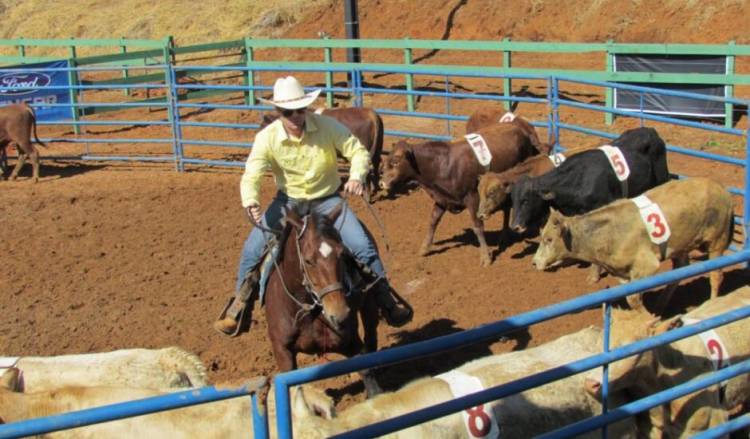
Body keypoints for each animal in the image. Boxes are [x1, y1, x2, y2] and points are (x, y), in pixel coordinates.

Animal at [264, 205, 382, 398]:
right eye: (308, 261)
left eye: (342, 254)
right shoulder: (283, 352)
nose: (339, 314)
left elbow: (367, 373)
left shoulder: (351, 342)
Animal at [536, 177, 736, 312]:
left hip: (717, 241)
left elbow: (633, 299)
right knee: (679, 270)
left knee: (716, 276)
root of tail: (723, 190)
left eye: (549, 239)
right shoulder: (623, 273)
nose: (535, 262)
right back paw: (660, 305)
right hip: (681, 246)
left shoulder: (646, 266)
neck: (606, 233)